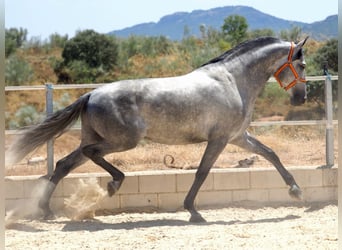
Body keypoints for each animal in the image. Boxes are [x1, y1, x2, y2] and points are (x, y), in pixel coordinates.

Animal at [6, 35, 308, 223]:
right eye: (303, 64)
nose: (301, 98)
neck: (233, 81)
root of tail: (91, 94)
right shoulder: (220, 139)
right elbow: (202, 172)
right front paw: (193, 212)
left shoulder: (238, 137)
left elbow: (271, 154)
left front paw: (296, 191)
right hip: (123, 140)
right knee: (91, 154)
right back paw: (114, 182)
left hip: (96, 139)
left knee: (63, 164)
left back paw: (46, 210)